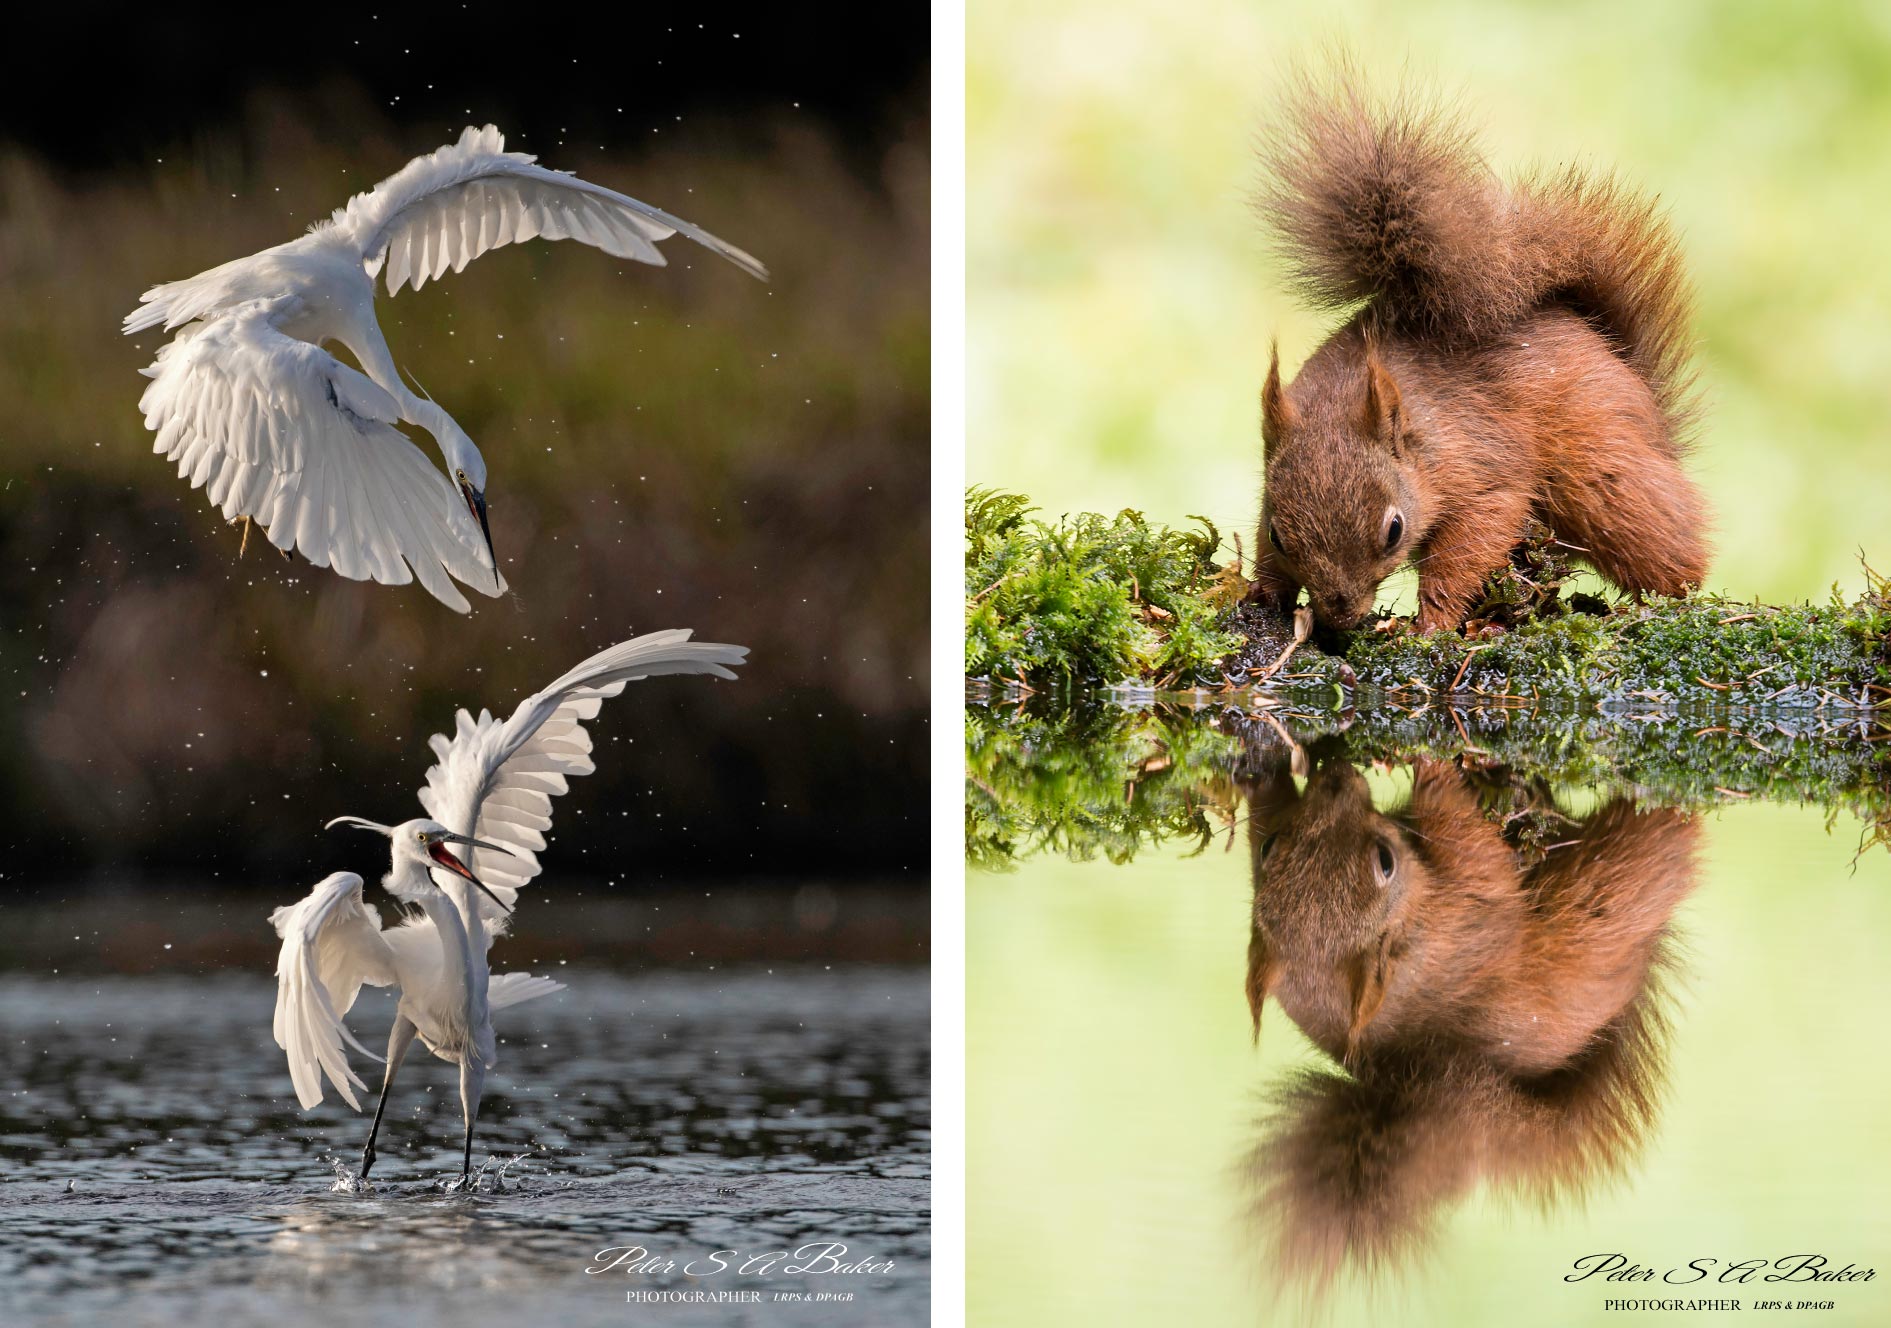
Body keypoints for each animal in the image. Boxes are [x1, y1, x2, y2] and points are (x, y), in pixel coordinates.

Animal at [1240, 67, 1717, 635]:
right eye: (1278, 534)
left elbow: (1468, 547)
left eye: (1394, 530)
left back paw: (1664, 602)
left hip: (1604, 472)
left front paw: (1432, 624)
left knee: (1667, 550)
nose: (1342, 616)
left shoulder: (1486, 471)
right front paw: (1264, 593)